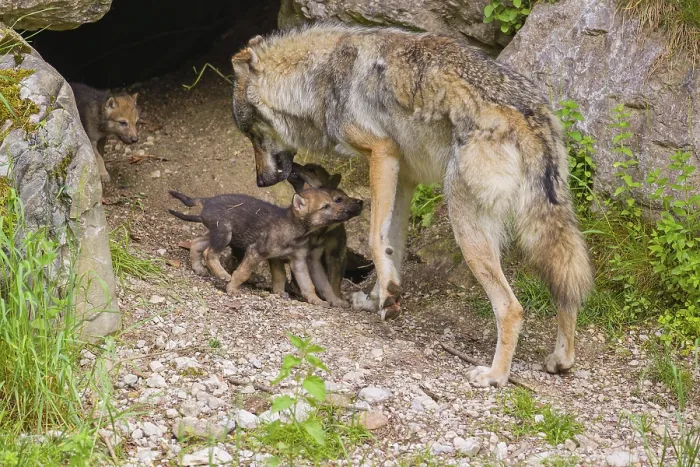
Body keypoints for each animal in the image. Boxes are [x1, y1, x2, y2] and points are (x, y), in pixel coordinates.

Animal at [168, 188, 363, 307]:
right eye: (326, 206)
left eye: (335, 201)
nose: (346, 212)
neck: (295, 230)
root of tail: (207, 200)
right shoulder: (256, 252)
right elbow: (242, 272)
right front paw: (232, 289)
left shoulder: (297, 261)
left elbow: (307, 284)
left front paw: (316, 300)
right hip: (224, 233)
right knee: (210, 253)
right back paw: (222, 274)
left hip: (218, 234)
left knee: (197, 243)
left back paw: (199, 268)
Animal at [229, 24, 593, 387]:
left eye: (251, 134)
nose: (261, 181)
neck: (319, 77)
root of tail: (528, 117)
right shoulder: (403, 178)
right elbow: (393, 245)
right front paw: (380, 297)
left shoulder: (382, 153)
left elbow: (375, 239)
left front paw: (386, 296)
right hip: (548, 229)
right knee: (568, 291)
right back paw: (561, 359)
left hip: (465, 225)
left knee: (511, 307)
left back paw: (494, 376)